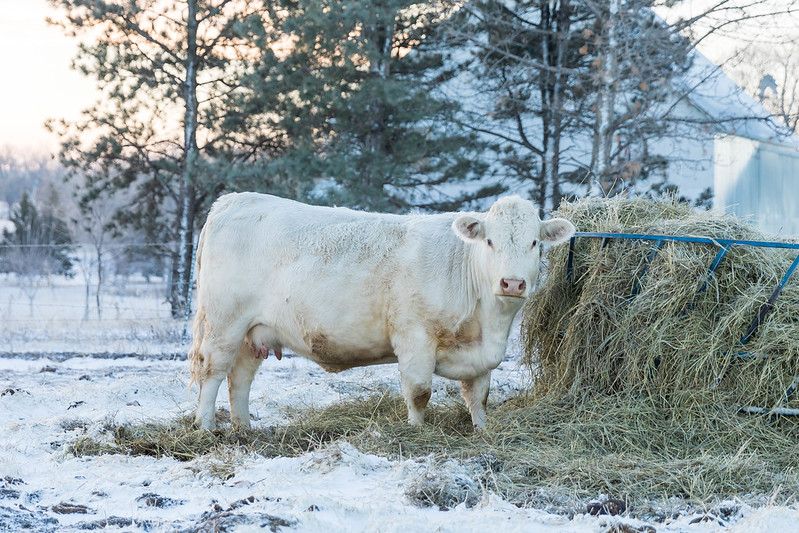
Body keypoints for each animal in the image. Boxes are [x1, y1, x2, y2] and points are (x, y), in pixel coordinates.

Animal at [188, 193, 575, 430]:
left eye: (535, 243)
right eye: (490, 241)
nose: (512, 283)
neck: (488, 322)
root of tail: (233, 200)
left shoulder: (481, 353)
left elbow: (479, 395)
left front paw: (482, 429)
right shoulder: (415, 336)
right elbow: (419, 391)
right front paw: (416, 431)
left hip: (253, 332)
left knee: (239, 378)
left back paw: (243, 428)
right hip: (224, 323)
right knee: (213, 372)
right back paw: (205, 427)